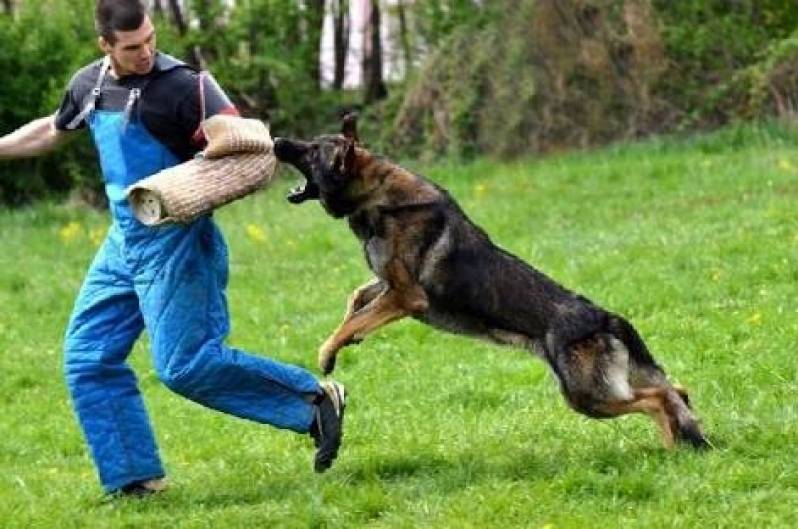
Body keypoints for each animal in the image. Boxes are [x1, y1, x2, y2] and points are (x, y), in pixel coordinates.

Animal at [276, 115, 712, 450]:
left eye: (312, 151)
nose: (277, 140)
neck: (378, 196)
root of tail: (606, 318)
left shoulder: (407, 296)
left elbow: (353, 319)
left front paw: (328, 353)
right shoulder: (388, 285)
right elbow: (356, 300)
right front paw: (348, 338)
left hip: (586, 396)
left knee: (656, 399)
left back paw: (671, 447)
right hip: (605, 388)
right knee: (678, 390)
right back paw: (685, 440)